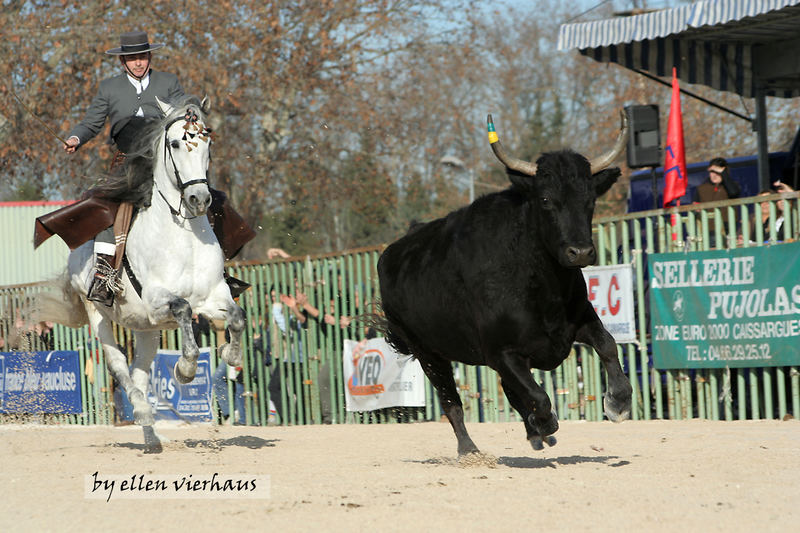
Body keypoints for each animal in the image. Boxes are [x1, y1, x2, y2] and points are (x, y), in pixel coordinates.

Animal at [37, 96, 244, 448]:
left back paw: (151, 437)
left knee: (140, 371)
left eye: (208, 142)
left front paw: (229, 354)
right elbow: (184, 309)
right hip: (101, 316)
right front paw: (185, 369)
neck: (183, 233)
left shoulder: (214, 295)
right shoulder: (158, 300)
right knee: (121, 366)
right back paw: (144, 414)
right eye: (175, 143)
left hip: (147, 329)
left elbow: (237, 317)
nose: (199, 199)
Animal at [378, 112, 636, 454]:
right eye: (545, 199)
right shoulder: (501, 353)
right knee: (452, 402)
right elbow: (538, 395)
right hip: (427, 353)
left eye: (590, 200)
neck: (543, 286)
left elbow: (607, 344)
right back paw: (470, 449)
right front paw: (545, 422)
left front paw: (618, 402)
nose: (580, 251)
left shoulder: (579, 318)